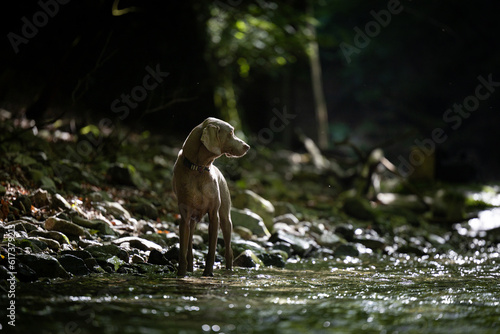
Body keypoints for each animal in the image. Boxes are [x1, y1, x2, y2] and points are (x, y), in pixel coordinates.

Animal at [173, 117, 250, 276]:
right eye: (231, 133)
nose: (247, 146)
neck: (199, 169)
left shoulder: (214, 215)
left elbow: (212, 249)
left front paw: (208, 273)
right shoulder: (185, 216)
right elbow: (183, 250)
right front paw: (181, 274)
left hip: (226, 219)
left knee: (229, 250)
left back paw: (229, 270)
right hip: (193, 221)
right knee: (189, 247)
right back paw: (190, 269)